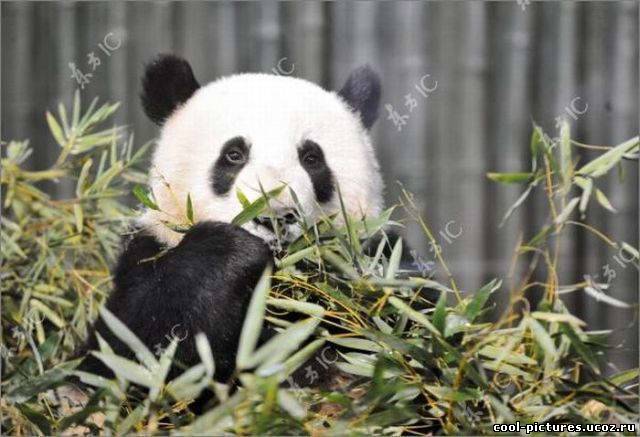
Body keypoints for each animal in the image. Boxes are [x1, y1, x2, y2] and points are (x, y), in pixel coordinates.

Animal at [79, 55, 390, 388]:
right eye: (233, 154)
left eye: (311, 158)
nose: (275, 217)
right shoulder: (149, 248)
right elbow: (122, 353)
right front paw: (230, 252)